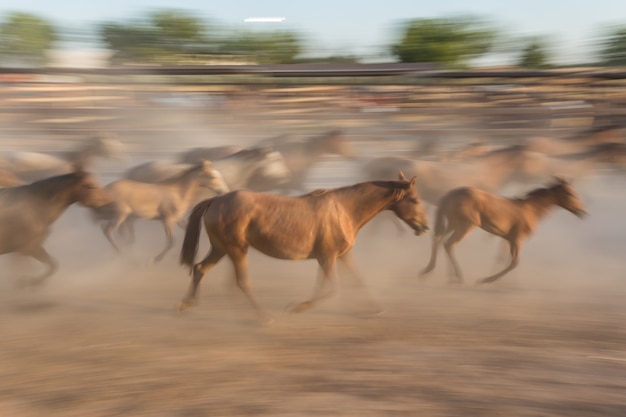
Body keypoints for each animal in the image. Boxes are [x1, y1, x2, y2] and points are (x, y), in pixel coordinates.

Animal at [92, 161, 229, 262]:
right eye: (212, 176)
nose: (224, 191)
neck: (179, 193)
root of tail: (105, 189)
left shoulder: (178, 219)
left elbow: (189, 232)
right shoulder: (167, 220)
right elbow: (171, 241)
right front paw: (155, 259)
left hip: (119, 216)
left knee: (111, 230)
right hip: (120, 215)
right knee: (108, 230)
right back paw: (122, 254)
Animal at [178, 171, 426, 322]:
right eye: (414, 200)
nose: (425, 227)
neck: (344, 209)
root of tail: (216, 200)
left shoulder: (341, 255)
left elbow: (357, 280)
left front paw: (376, 309)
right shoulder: (327, 257)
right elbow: (332, 289)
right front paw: (296, 307)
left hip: (221, 248)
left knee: (201, 269)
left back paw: (188, 305)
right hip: (237, 249)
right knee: (241, 282)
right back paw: (263, 317)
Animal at [420, 177, 584, 284]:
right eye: (569, 193)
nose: (582, 212)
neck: (529, 210)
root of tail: (449, 195)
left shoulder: (508, 239)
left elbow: (502, 258)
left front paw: (507, 285)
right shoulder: (517, 239)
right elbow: (514, 262)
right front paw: (487, 280)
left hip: (453, 224)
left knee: (438, 239)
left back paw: (431, 271)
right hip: (466, 226)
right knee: (449, 244)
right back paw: (458, 277)